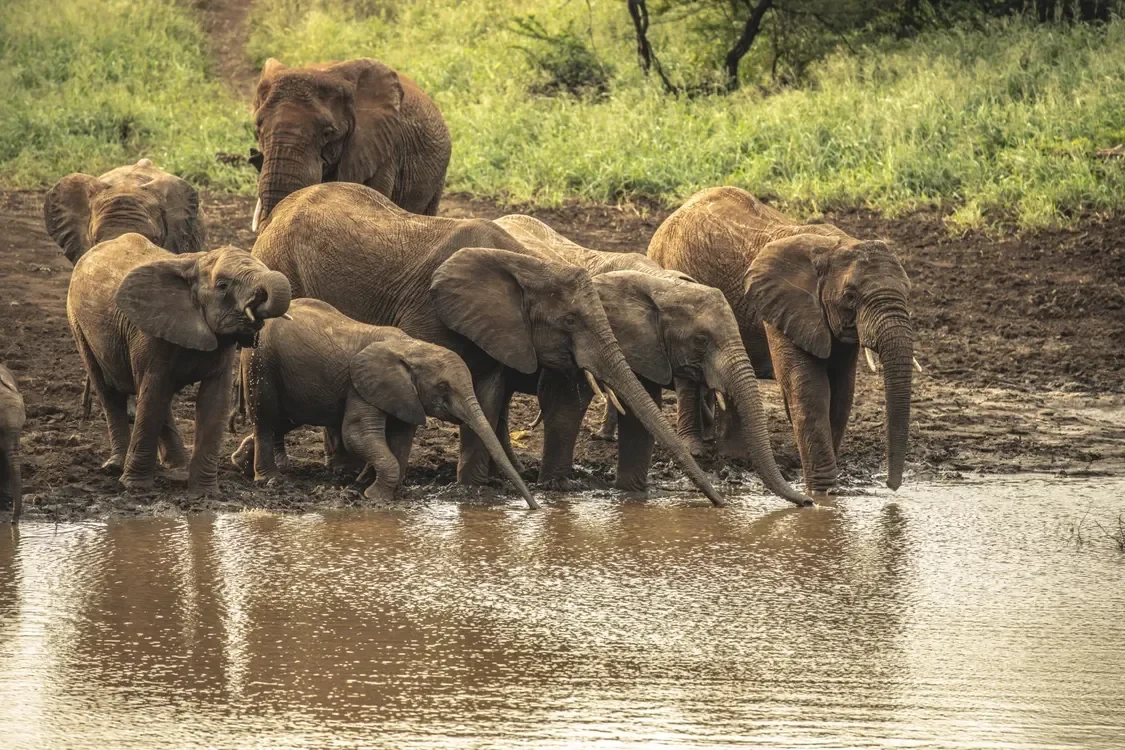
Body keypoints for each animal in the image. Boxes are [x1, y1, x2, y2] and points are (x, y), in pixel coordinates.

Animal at [67, 234, 292, 495]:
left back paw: (177, 469)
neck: (194, 263)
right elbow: (152, 393)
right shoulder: (149, 332)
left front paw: (205, 493)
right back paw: (115, 467)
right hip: (78, 325)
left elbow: (214, 400)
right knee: (109, 392)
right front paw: (134, 487)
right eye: (222, 285)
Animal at [229, 299, 537, 508]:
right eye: (443, 388)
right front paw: (374, 497)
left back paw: (240, 463)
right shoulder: (361, 387)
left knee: (285, 419)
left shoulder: (405, 394)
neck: (413, 347)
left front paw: (381, 491)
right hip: (261, 363)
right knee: (266, 419)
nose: (534, 507)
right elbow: (357, 434)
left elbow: (401, 439)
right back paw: (269, 479)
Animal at [648, 187, 915, 497]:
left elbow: (842, 391)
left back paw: (736, 457)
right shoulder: (780, 307)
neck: (835, 246)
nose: (892, 486)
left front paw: (829, 493)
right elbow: (809, 390)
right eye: (850, 296)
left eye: (908, 291)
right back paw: (697, 450)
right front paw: (823, 493)